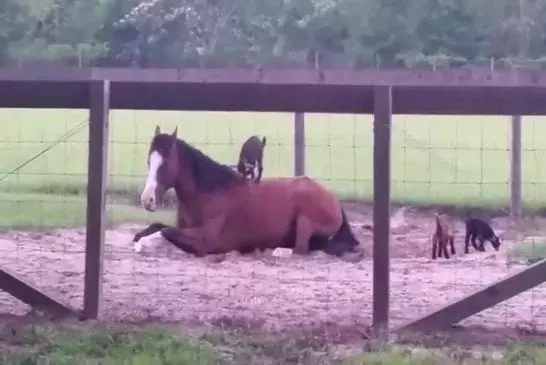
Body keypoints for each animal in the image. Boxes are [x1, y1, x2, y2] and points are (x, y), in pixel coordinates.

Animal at [131, 125, 360, 256]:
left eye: (165, 164)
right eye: (149, 161)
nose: (147, 200)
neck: (208, 192)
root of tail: (333, 200)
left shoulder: (205, 241)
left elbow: (164, 231)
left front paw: (142, 244)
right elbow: (156, 226)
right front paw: (140, 239)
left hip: (305, 221)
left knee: (301, 249)